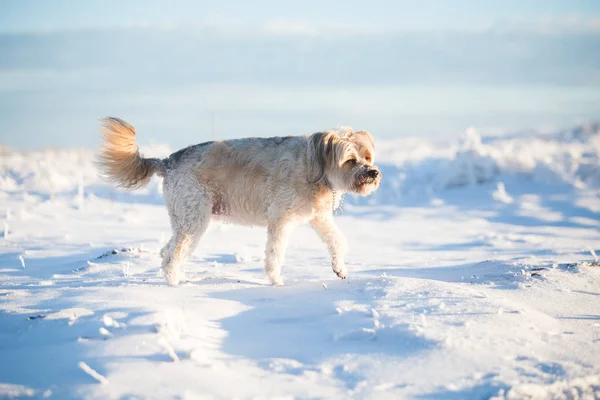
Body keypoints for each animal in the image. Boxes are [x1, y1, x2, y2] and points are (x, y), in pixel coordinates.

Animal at [96, 117, 382, 286]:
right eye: (351, 160)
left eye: (368, 156)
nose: (373, 173)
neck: (317, 167)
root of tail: (167, 161)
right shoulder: (281, 220)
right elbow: (275, 254)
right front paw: (277, 281)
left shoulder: (318, 217)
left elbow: (337, 240)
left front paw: (340, 269)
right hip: (194, 219)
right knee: (171, 256)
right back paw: (175, 283)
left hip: (189, 218)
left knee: (167, 250)